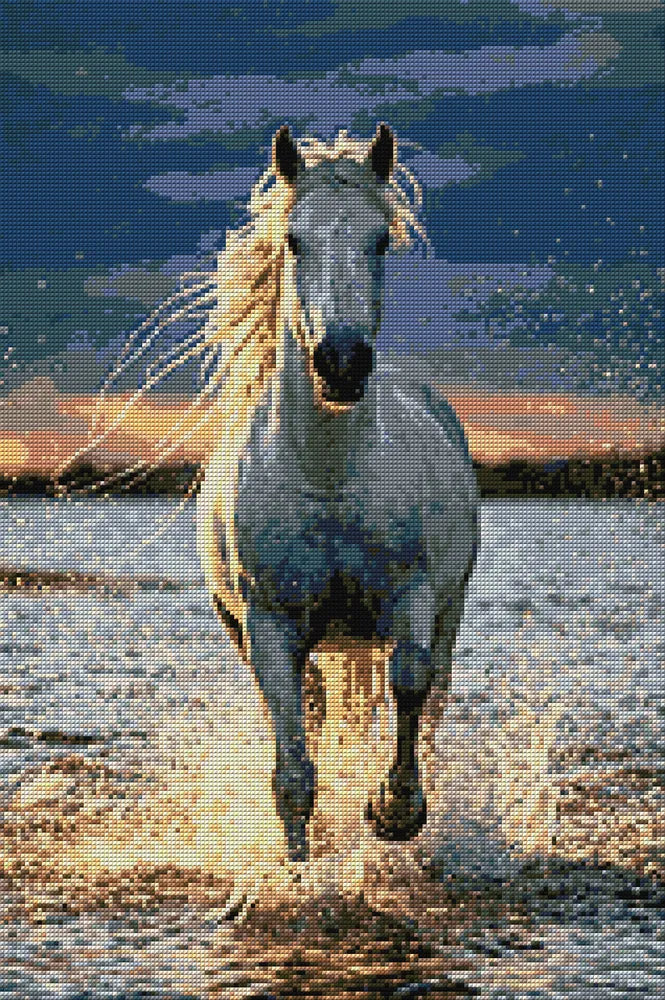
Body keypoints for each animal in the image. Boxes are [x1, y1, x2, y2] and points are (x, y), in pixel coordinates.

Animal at [196, 124, 479, 861]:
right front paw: (303, 871)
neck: (326, 478)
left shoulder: (409, 595)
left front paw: (395, 809)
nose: (342, 361)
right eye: (295, 240)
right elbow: (294, 774)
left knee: (432, 699)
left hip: (449, 608)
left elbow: (408, 680)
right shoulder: (268, 625)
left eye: (379, 240)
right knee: (313, 716)